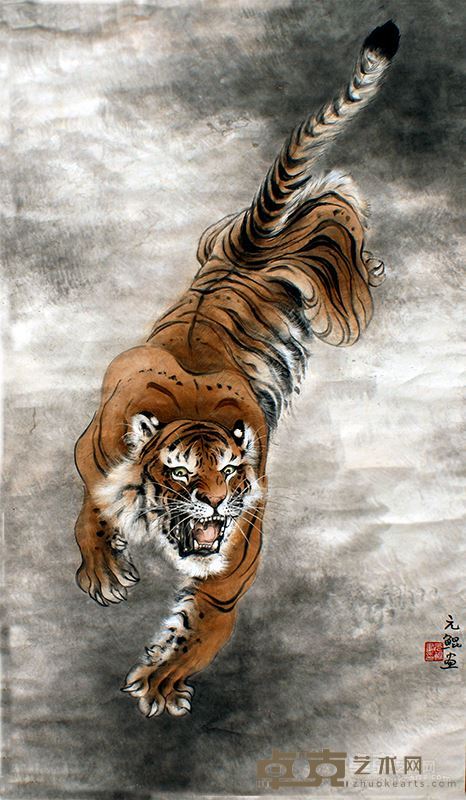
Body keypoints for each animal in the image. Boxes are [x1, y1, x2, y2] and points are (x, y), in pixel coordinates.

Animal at [74, 21, 400, 717]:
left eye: (229, 472)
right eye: (179, 473)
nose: (218, 505)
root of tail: (241, 257)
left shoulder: (236, 558)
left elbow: (202, 624)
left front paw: (160, 682)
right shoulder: (92, 453)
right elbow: (93, 508)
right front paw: (105, 571)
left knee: (331, 207)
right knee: (327, 203)